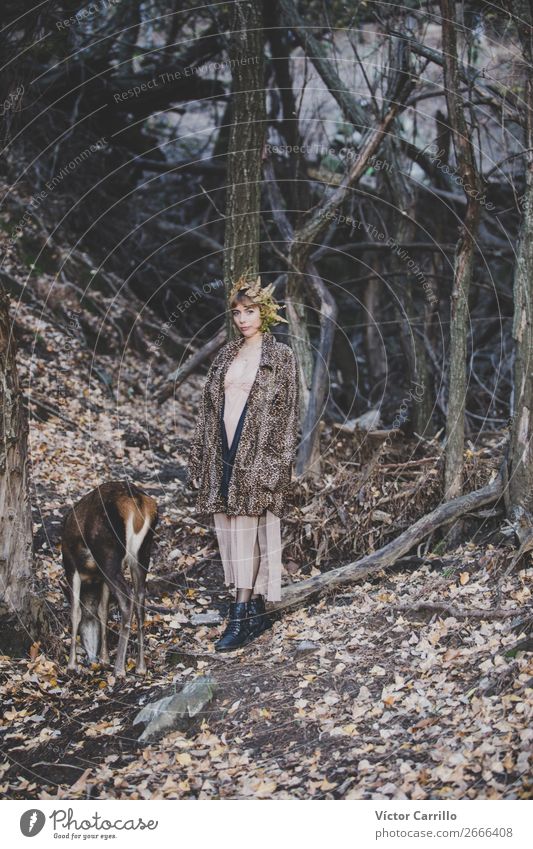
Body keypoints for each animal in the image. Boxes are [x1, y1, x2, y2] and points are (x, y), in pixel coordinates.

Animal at [60, 480, 157, 680]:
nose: (92, 657)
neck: (90, 577)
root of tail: (137, 502)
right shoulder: (101, 577)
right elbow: (102, 610)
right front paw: (104, 658)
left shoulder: (71, 565)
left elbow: (75, 612)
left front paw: (71, 665)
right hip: (143, 553)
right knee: (140, 599)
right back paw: (140, 667)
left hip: (108, 553)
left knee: (127, 599)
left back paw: (119, 669)